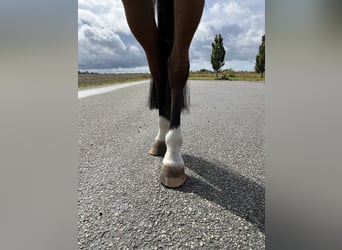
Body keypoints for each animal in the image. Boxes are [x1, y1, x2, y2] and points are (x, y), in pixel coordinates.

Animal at [122, 0, 204, 188]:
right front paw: (169, 149)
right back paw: (161, 138)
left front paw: (172, 158)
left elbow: (177, 67)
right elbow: (159, 68)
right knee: (159, 65)